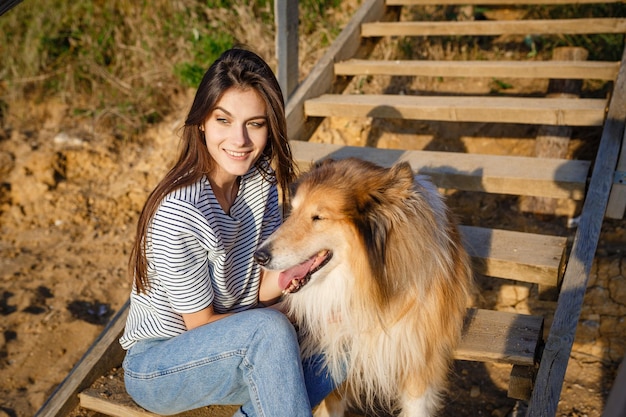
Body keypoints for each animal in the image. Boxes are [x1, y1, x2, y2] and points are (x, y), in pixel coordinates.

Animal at [251, 158, 470, 414]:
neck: (373, 286)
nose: (259, 256)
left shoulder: (419, 365)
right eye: (293, 211)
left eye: (318, 217)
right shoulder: (335, 354)